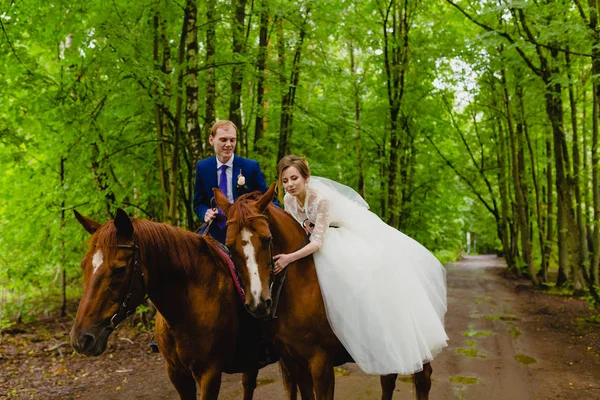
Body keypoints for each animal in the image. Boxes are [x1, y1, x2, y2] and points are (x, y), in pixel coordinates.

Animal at [216, 187, 436, 400]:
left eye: (267, 239)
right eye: (229, 245)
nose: (258, 303)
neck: (301, 287)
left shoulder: (320, 364)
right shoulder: (295, 362)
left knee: (423, 380)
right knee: (388, 379)